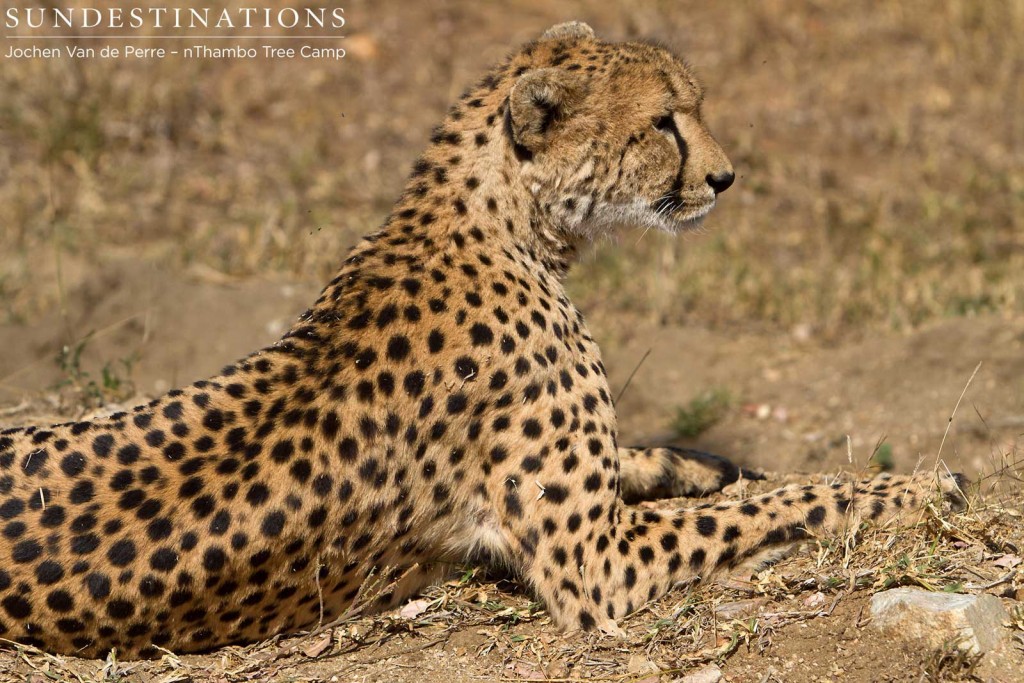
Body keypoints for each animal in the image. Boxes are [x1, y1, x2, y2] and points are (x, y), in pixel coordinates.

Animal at [0, 24, 962, 659]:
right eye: (664, 121)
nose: (726, 178)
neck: (502, 223)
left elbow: (668, 467)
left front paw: (698, 460)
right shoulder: (599, 566)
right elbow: (775, 504)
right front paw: (912, 486)